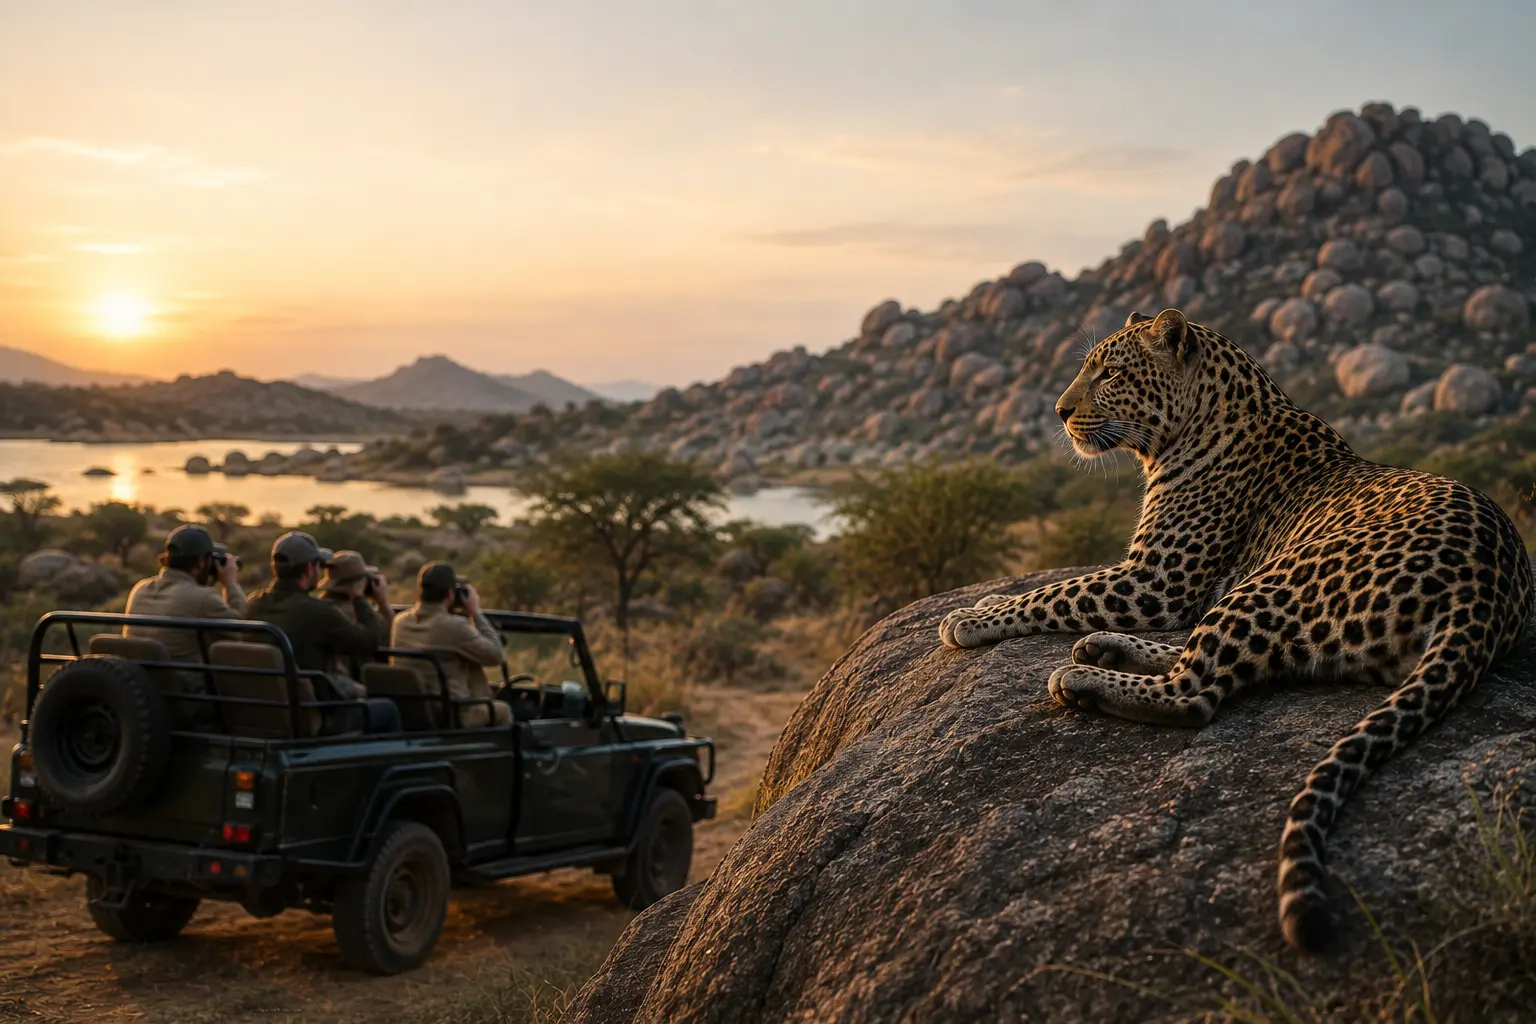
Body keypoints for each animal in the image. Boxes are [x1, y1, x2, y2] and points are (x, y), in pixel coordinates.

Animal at [938, 307, 1533, 953]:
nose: (1059, 410)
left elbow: (1056, 592)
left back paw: (1082, 679)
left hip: (1280, 576)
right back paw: (1103, 649)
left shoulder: (1155, 581)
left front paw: (972, 616)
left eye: (1111, 374)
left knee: (1193, 693)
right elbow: (1063, 592)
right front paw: (986, 602)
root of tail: (1487, 589)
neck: (1189, 430)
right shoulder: (1154, 582)